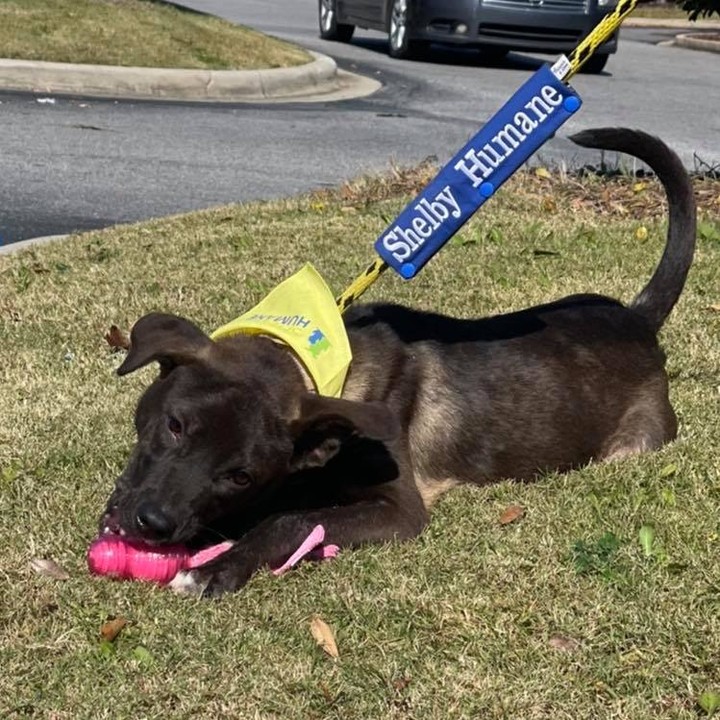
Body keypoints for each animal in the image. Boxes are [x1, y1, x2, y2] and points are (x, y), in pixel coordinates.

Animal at [98, 129, 696, 596]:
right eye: (174, 425)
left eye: (240, 474)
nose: (152, 524)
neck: (311, 358)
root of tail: (636, 321)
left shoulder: (400, 509)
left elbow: (290, 522)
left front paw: (216, 568)